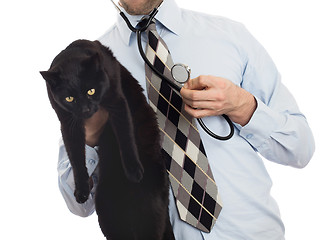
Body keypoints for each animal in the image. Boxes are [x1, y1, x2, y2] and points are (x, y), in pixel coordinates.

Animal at [40, 40, 175, 239]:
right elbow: (76, 157)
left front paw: (134, 171)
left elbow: (126, 138)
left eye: (91, 90)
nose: (86, 109)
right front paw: (82, 190)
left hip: (149, 215)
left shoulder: (117, 103)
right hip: (108, 213)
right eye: (69, 98)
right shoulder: (68, 122)